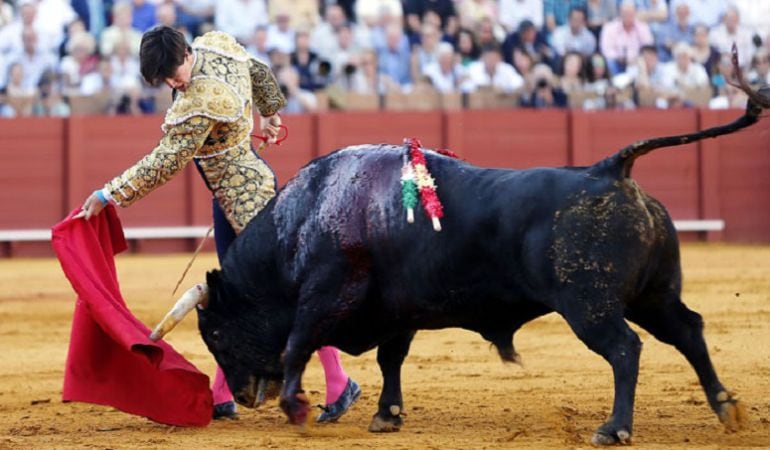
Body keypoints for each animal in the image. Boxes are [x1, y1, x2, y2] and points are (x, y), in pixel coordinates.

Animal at [150, 53, 760, 442]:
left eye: (214, 333)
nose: (245, 396)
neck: (302, 220)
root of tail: (609, 168)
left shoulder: (325, 294)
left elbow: (300, 341)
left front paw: (296, 405)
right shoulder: (395, 308)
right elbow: (391, 358)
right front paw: (386, 415)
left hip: (590, 305)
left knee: (626, 349)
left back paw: (614, 429)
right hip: (652, 294)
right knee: (688, 331)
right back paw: (725, 408)